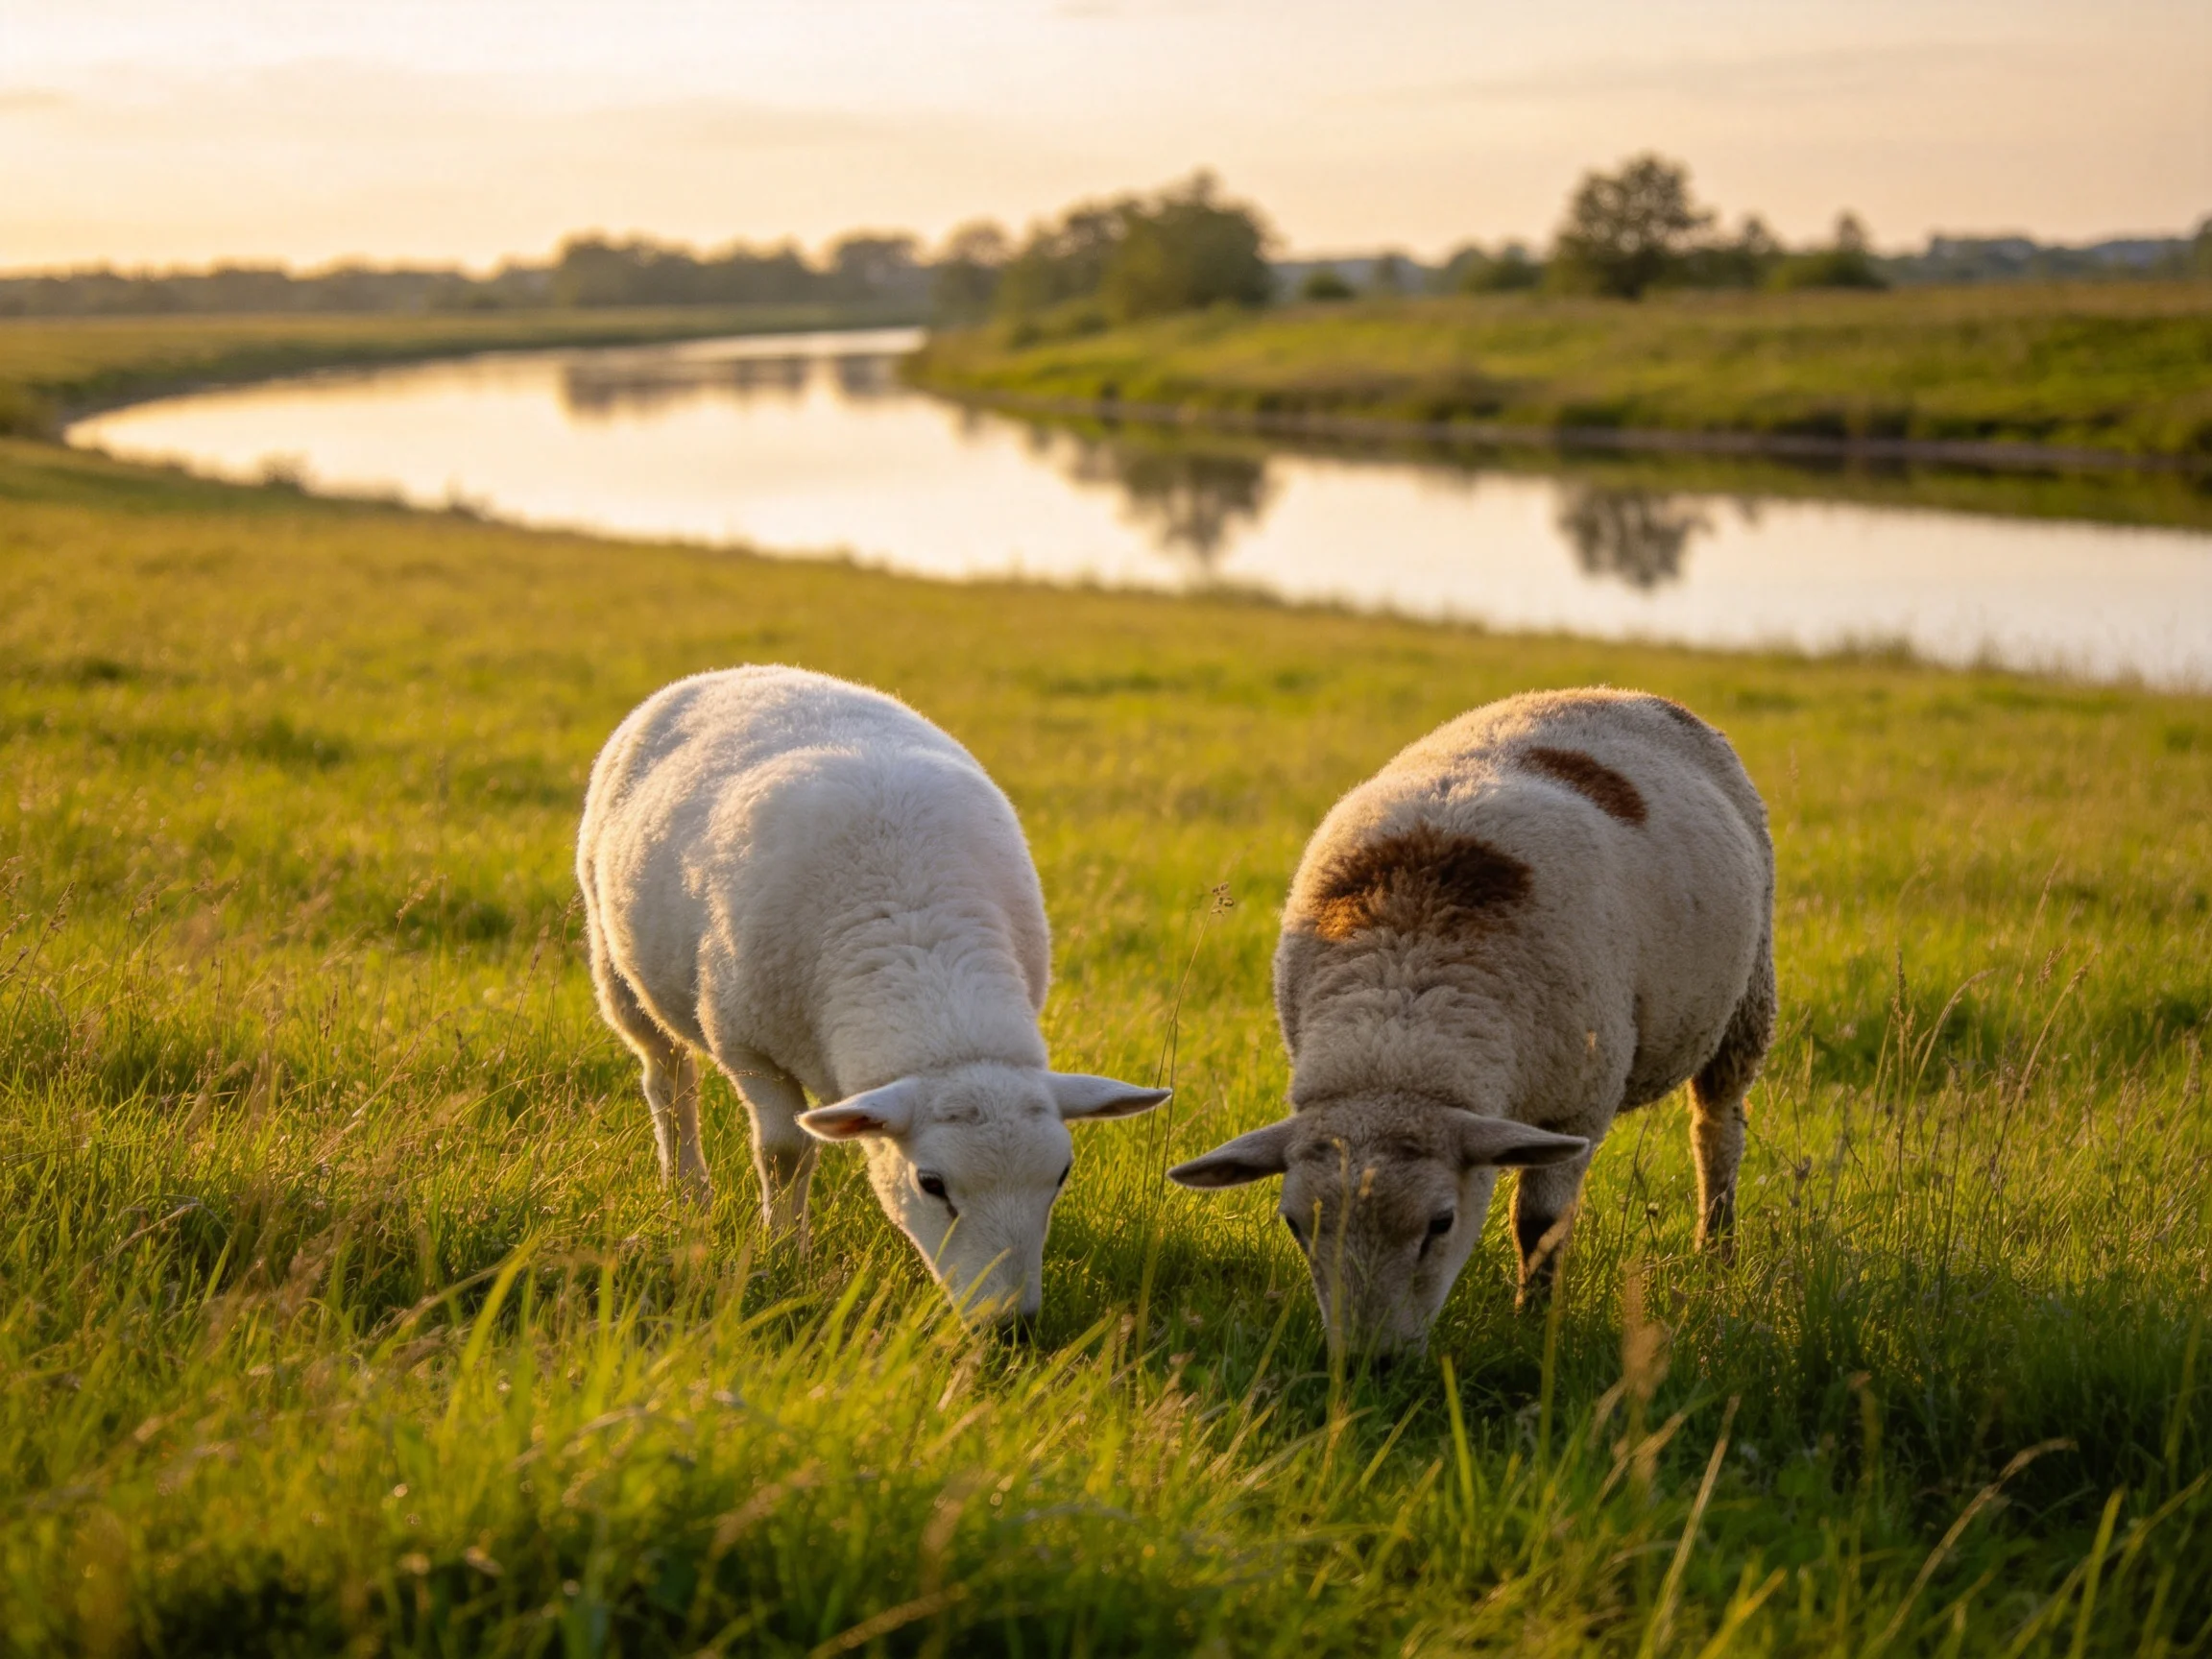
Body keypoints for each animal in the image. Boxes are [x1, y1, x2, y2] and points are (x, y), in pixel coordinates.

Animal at [576, 666, 1168, 1324]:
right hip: (616, 964)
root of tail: (738, 670)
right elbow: (784, 1153)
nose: (1010, 1324)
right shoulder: (746, 1045)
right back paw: (687, 1194)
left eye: (1061, 1175)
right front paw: (785, 1252)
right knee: (669, 1081)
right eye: (931, 1184)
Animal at [1170, 689, 1774, 1357]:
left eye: (1442, 1223)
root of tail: (1624, 693)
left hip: (1747, 998)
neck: (1399, 1025)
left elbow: (1539, 1228)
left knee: (1717, 1131)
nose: (1369, 1364)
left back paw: (1716, 1254)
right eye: (1295, 1224)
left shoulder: (1579, 1104)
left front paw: (1532, 1326)